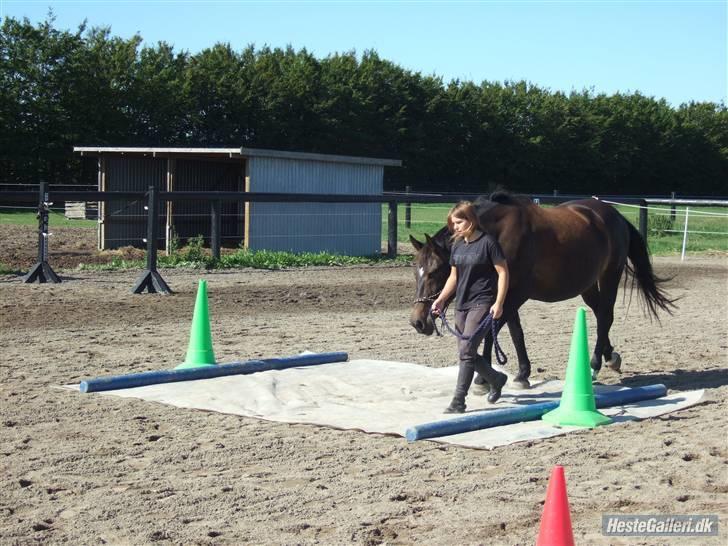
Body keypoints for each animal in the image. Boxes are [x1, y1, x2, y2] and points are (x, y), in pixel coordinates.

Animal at [406, 191, 672, 386]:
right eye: (415, 269)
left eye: (435, 271)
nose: (417, 322)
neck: (496, 236)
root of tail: (614, 215)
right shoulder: (504, 294)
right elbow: (515, 333)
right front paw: (522, 374)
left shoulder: (517, 294)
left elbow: (492, 330)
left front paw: (483, 379)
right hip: (586, 284)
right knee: (600, 315)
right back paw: (611, 357)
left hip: (610, 276)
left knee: (606, 315)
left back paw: (595, 365)